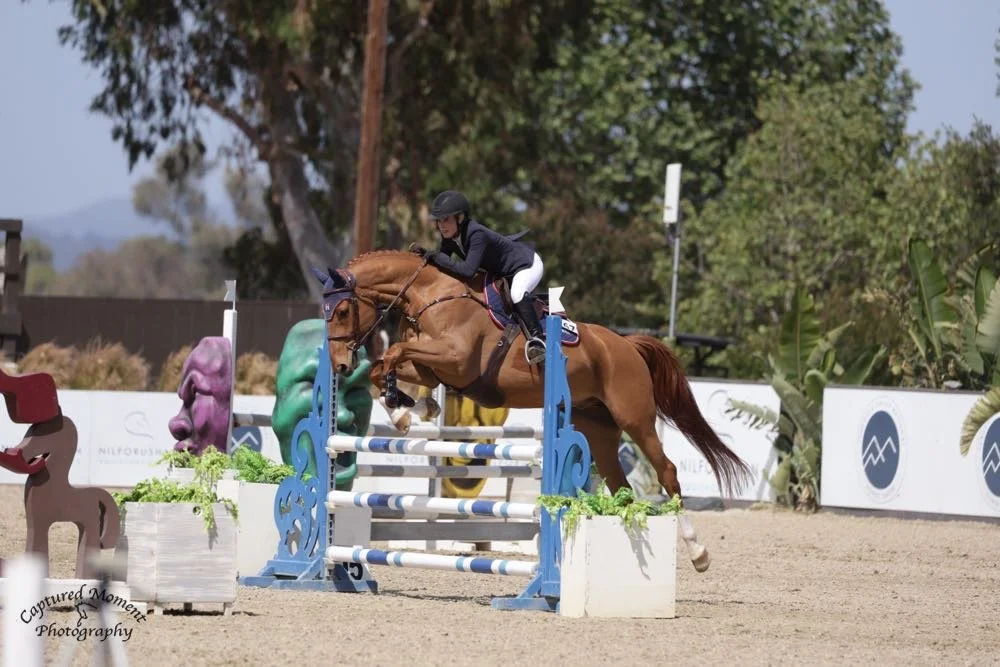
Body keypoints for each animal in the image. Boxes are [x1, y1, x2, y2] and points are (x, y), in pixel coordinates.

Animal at [310, 250, 751, 572]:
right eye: (325, 313)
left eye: (344, 311)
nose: (340, 365)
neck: (431, 294)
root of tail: (626, 344)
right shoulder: (433, 365)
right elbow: (387, 365)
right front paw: (410, 408)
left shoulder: (455, 359)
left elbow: (393, 354)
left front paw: (406, 407)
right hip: (599, 429)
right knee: (620, 486)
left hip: (635, 420)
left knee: (668, 473)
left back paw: (698, 554)